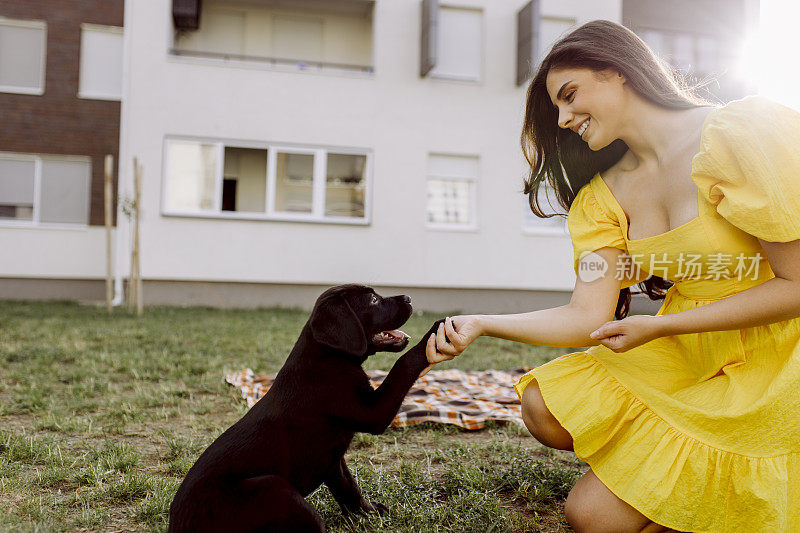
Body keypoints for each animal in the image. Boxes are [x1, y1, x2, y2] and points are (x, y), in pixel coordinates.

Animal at [169, 284, 444, 528]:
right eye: (373, 300)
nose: (409, 297)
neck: (328, 357)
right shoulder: (373, 413)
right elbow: (403, 363)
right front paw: (436, 333)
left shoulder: (332, 460)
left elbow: (349, 488)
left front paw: (369, 513)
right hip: (275, 488)